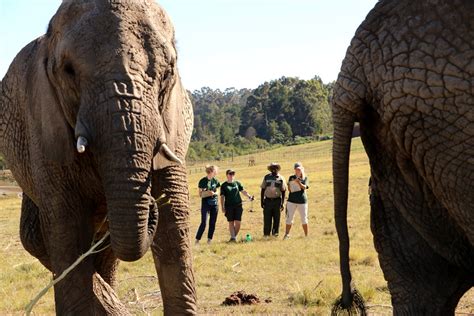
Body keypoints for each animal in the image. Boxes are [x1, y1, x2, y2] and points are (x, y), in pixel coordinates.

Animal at [0, 0, 196, 314]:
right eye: (68, 71)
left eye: (168, 72)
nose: (150, 203)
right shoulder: (43, 129)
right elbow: (66, 231)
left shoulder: (173, 128)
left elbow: (173, 222)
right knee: (36, 238)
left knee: (105, 252)